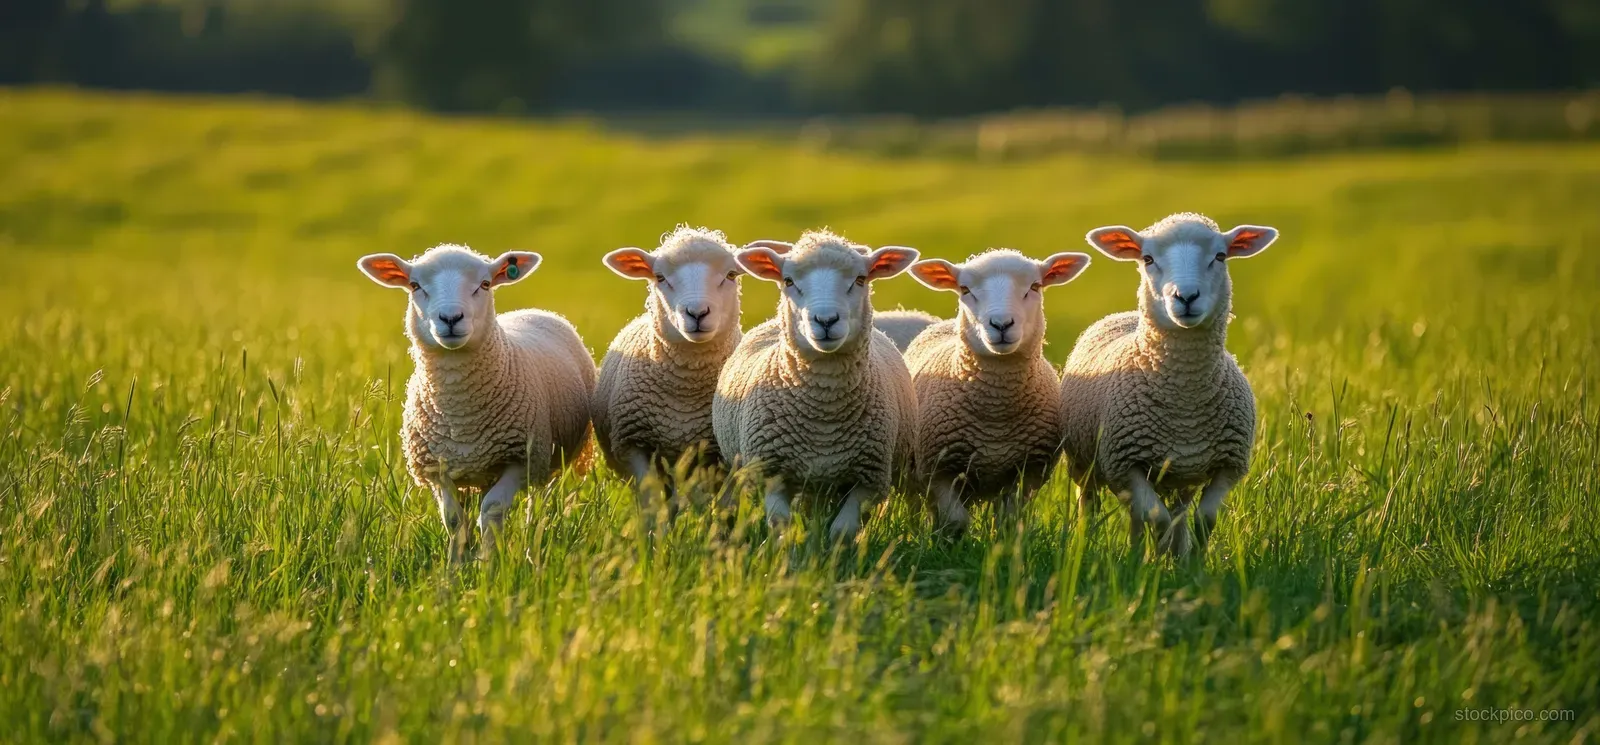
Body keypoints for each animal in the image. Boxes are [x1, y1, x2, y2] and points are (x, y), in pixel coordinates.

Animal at [357, 244, 596, 563]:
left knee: (539, 500)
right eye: (415, 286)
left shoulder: (519, 459)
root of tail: (535, 311)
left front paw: (490, 566)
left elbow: (492, 511)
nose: (450, 318)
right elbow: (454, 520)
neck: (461, 412)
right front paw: (454, 568)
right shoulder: (437, 470)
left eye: (484, 284)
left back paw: (532, 545)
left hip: (549, 457)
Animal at [591, 226, 765, 508]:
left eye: (731, 275)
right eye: (660, 277)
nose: (697, 313)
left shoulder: (719, 455)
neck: (685, 389)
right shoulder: (635, 445)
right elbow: (651, 501)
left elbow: (722, 507)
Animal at [711, 230, 920, 541]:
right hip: (741, 464)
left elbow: (842, 531)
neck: (824, 409)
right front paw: (788, 552)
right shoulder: (771, 472)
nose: (825, 320)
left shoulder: (869, 480)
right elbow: (781, 524)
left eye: (860, 279)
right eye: (788, 281)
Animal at [905, 248, 1091, 535]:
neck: (996, 413)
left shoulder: (1028, 472)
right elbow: (955, 521)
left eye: (1034, 286)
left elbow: (1009, 522)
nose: (1001, 324)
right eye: (965, 289)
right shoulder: (937, 469)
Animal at [1058, 213, 1278, 558]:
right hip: (1085, 462)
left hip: (1179, 476)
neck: (1184, 399)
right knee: (1092, 503)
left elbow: (1204, 519)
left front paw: (1192, 563)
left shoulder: (1229, 464)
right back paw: (1088, 547)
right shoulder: (1126, 464)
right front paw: (1159, 560)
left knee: (1168, 512)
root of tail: (1123, 314)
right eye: (1147, 259)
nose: (1186, 297)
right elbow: (1157, 518)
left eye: (1220, 256)